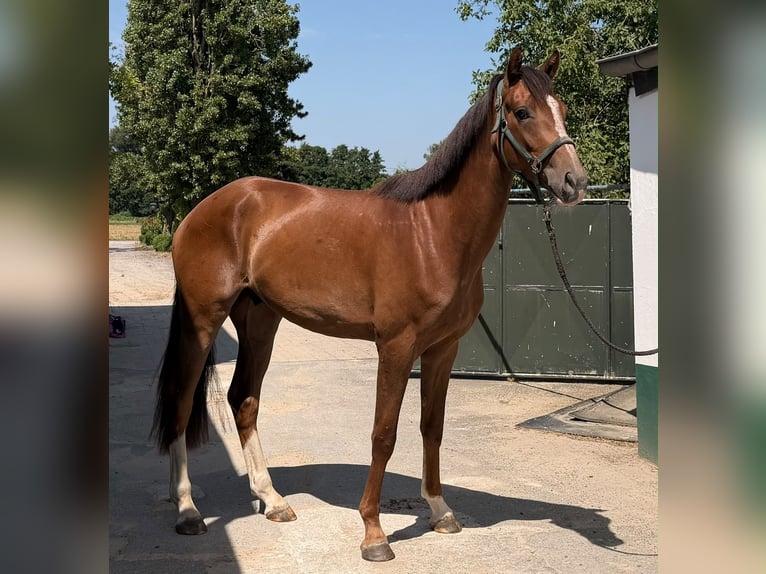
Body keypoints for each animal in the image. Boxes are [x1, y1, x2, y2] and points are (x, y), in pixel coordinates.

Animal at [151, 46, 587, 562]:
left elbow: (432, 427)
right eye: (522, 112)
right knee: (181, 402)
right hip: (203, 319)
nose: (575, 181)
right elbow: (384, 434)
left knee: (244, 399)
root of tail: (204, 208)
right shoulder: (395, 348)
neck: (433, 234)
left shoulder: (443, 350)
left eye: (562, 109)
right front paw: (374, 534)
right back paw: (186, 510)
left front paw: (440, 511)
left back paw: (272, 499)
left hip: (260, 320)